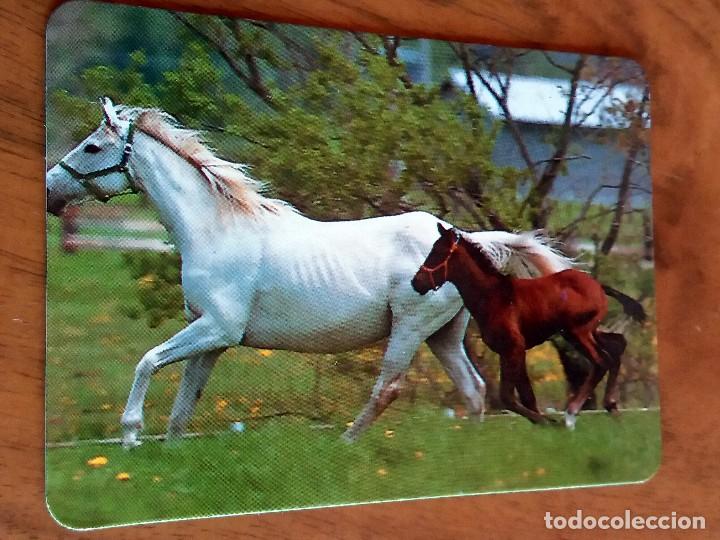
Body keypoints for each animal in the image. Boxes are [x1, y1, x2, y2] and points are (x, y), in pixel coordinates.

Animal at [46, 98, 574, 448]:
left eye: (92, 147)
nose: (51, 191)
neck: (218, 229)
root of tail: (464, 238)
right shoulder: (211, 337)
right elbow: (183, 405)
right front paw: (169, 454)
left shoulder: (217, 328)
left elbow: (148, 361)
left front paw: (130, 436)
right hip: (444, 335)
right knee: (473, 389)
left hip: (410, 328)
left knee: (389, 387)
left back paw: (347, 442)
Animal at [411, 223, 645, 429]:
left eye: (438, 251)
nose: (417, 282)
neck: (494, 297)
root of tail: (599, 286)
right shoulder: (512, 351)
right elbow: (527, 397)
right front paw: (544, 424)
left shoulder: (513, 348)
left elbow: (507, 397)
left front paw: (550, 423)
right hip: (584, 332)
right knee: (617, 346)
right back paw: (611, 407)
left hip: (578, 332)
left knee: (601, 361)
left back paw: (571, 415)